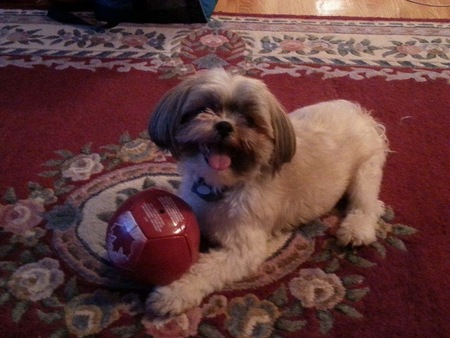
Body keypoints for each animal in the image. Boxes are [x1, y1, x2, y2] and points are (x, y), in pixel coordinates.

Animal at [146, 68, 388, 316]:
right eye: (205, 108)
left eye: (249, 120)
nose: (224, 125)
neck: (222, 185)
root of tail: (361, 115)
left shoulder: (242, 249)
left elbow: (205, 269)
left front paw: (174, 292)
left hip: (365, 173)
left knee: (366, 205)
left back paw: (357, 229)